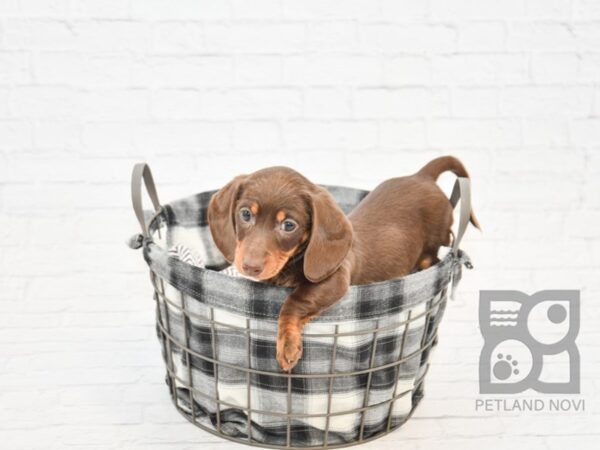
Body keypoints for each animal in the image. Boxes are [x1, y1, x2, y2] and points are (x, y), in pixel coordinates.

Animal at [209, 156, 480, 370]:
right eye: (245, 214)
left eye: (289, 225)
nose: (250, 267)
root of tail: (422, 176)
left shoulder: (335, 279)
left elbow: (295, 301)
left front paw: (287, 346)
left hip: (434, 243)